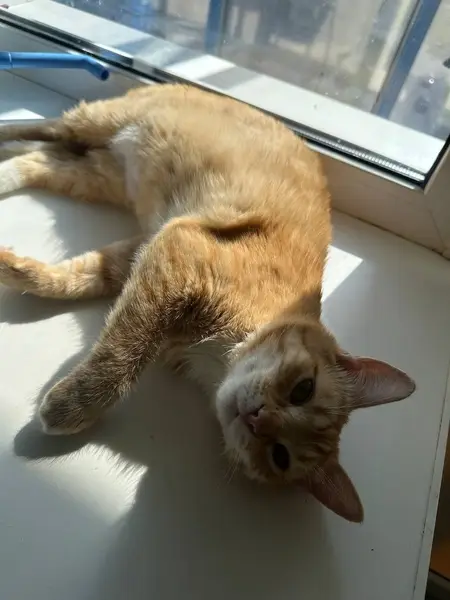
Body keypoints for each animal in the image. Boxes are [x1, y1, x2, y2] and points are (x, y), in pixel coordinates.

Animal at [0, 83, 415, 522]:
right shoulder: (180, 253)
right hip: (98, 122)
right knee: (38, 129)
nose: (257, 417)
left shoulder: (143, 253)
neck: (214, 353)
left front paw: (16, 271)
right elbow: (123, 354)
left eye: (279, 455)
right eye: (304, 389)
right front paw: (74, 404)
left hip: (96, 172)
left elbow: (76, 277)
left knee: (38, 158)